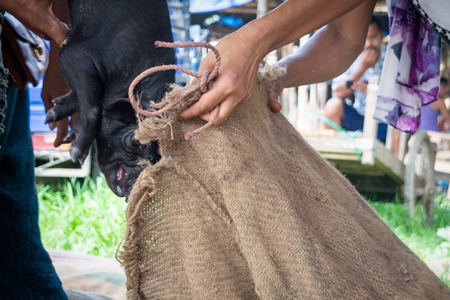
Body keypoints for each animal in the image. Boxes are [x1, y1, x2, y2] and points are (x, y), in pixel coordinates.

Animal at [46, 0, 176, 198]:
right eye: (136, 141)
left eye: (160, 152)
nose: (141, 187)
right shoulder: (76, 55)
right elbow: (91, 103)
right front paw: (76, 154)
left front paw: (54, 117)